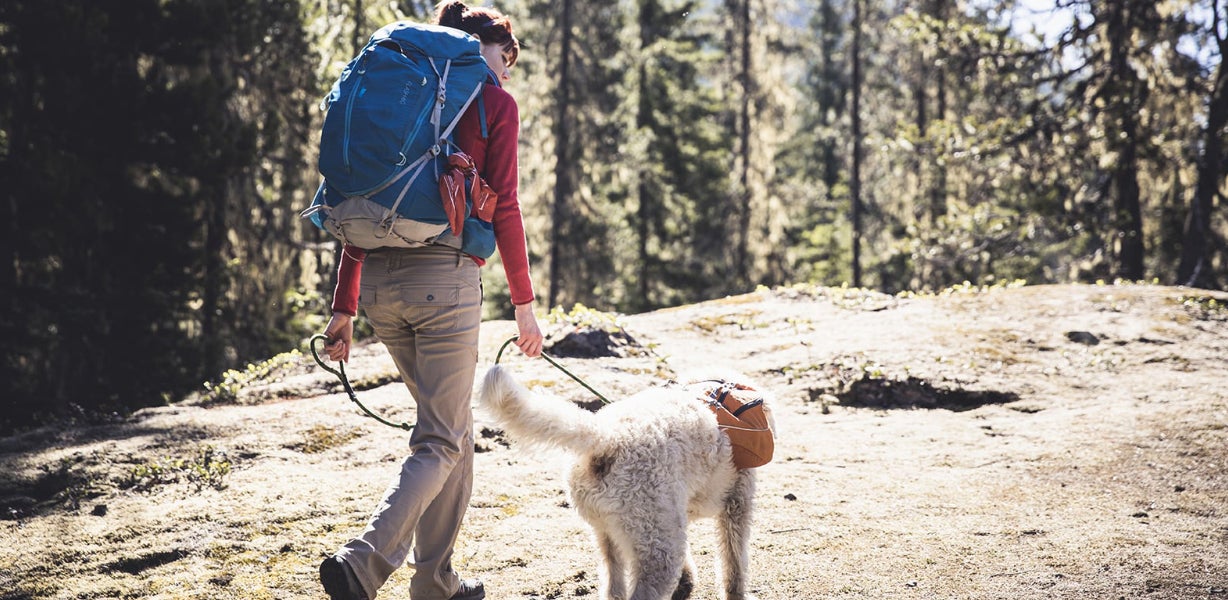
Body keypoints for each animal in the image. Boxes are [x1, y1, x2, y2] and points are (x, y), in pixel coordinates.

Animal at [476, 363, 771, 598]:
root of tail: (607, 439)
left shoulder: (675, 513)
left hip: (614, 535)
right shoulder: (736, 505)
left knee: (613, 585)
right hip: (657, 549)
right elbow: (734, 562)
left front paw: (686, 582)